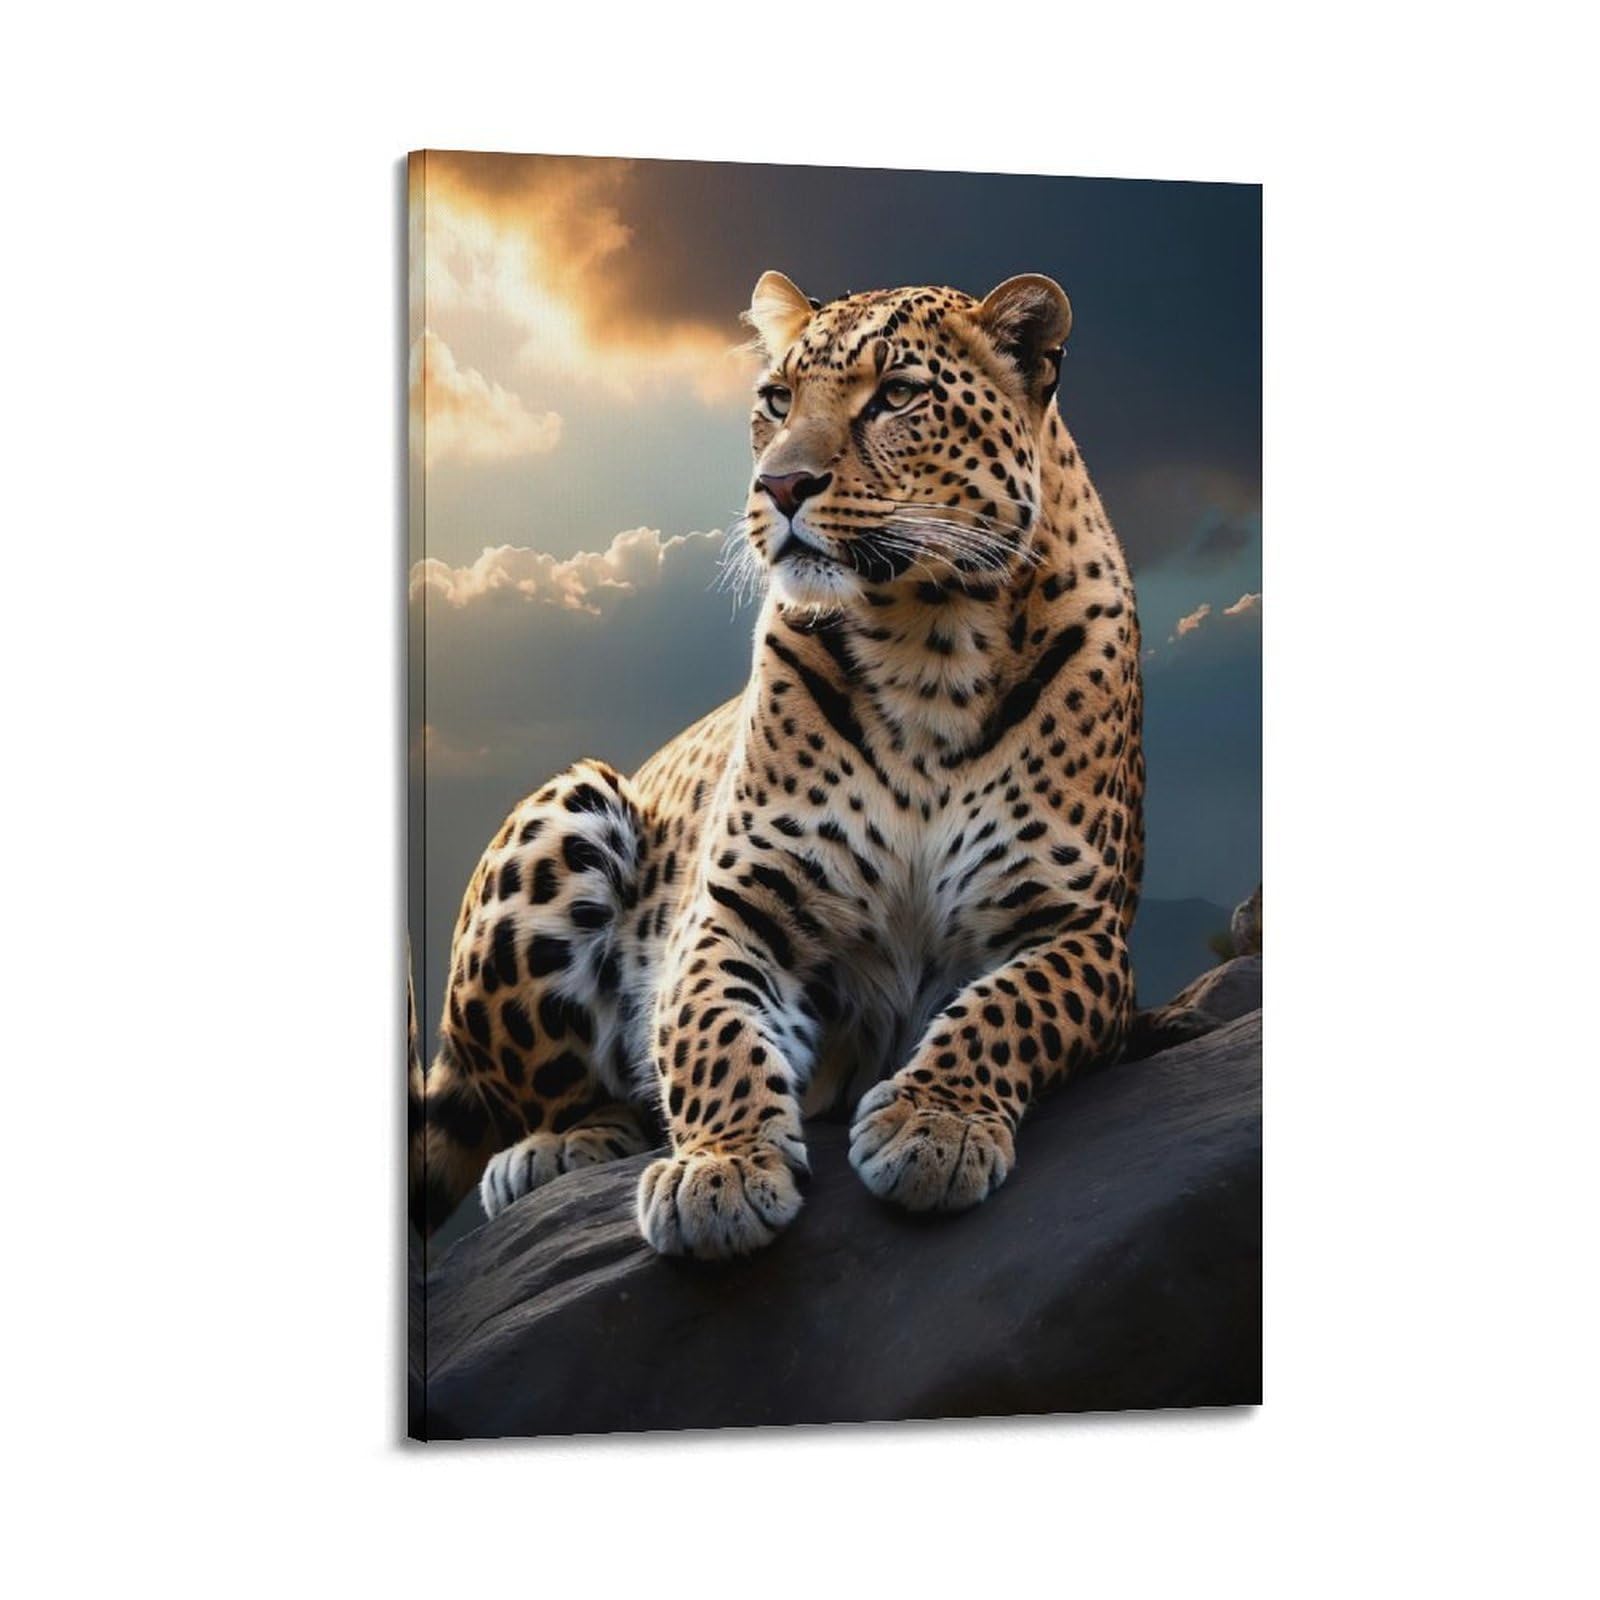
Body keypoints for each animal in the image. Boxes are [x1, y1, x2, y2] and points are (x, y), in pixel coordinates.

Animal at [410, 269, 1152, 1260]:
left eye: (897, 396)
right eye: (775, 401)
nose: (781, 485)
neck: (930, 645)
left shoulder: (1078, 929)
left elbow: (1006, 1009)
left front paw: (935, 1124)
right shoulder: (738, 910)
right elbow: (714, 1035)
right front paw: (721, 1171)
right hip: (570, 802)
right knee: (549, 1095)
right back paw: (562, 1147)